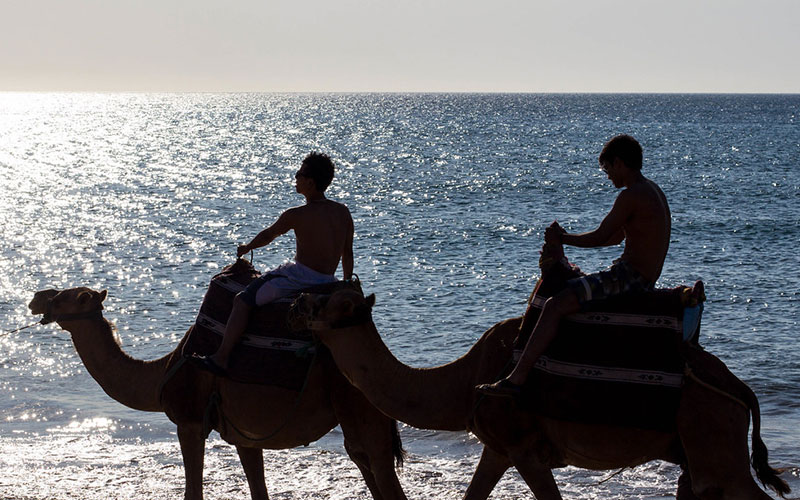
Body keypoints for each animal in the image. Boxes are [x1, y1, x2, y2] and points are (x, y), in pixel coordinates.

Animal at [28, 288, 410, 500]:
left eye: (62, 297)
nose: (35, 298)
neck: (162, 370)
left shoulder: (190, 421)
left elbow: (193, 492)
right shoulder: (244, 434)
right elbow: (259, 492)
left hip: (360, 402)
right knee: (362, 459)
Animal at [290, 288, 792, 498]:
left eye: (336, 303)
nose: (298, 302)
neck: (463, 383)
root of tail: (736, 387)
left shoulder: (524, 447)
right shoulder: (498, 447)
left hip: (712, 436)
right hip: (697, 446)